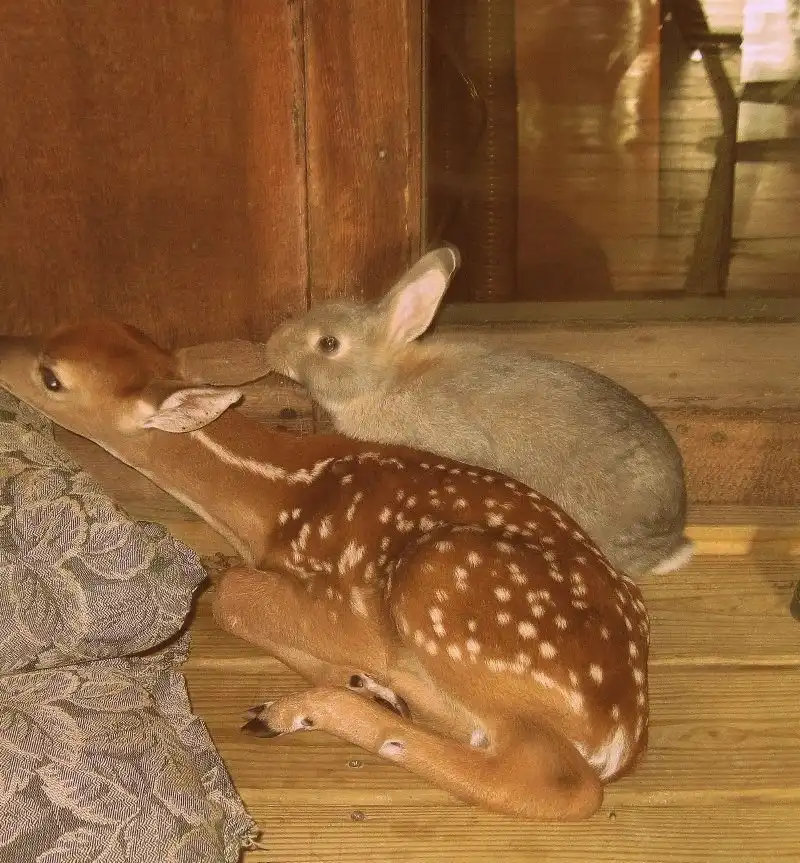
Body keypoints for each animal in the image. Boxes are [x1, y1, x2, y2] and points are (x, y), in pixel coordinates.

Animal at [0, 320, 650, 820]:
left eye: (52, 377)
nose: (3, 346)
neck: (270, 497)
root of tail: (621, 734)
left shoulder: (344, 604)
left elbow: (233, 598)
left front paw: (348, 676)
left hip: (439, 588)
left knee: (555, 784)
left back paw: (301, 708)